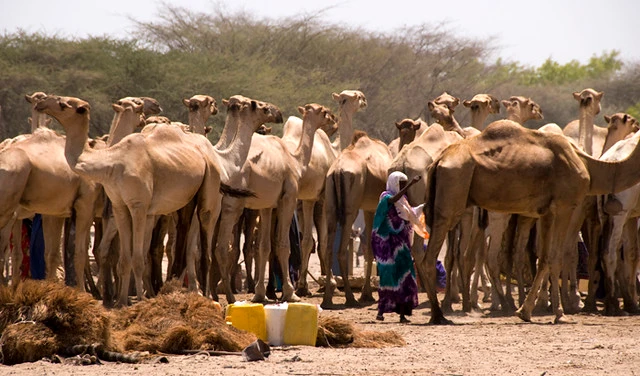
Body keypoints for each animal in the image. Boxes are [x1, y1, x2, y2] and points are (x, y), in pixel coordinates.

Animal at [212, 104, 336, 304]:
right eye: (323, 112)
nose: (332, 118)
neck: (295, 160)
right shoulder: (289, 197)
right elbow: (284, 245)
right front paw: (290, 292)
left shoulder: (267, 205)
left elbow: (264, 247)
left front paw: (260, 293)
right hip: (235, 204)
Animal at [420, 119, 640, 324]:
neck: (590, 165)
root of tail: (438, 160)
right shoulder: (566, 205)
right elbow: (557, 257)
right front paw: (559, 313)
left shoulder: (546, 212)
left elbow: (544, 258)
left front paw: (525, 312)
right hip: (451, 197)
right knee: (430, 257)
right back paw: (440, 315)